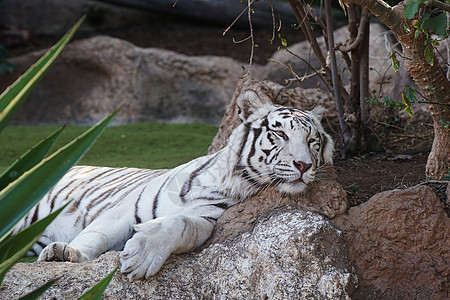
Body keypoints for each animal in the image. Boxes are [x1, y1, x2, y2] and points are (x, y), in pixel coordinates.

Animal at [14, 88, 334, 278]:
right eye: (280, 134)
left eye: (312, 141)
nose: (304, 165)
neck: (229, 179)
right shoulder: (122, 211)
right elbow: (97, 235)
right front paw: (67, 255)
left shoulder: (207, 219)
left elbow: (179, 224)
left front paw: (141, 257)